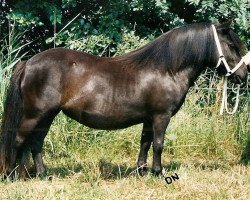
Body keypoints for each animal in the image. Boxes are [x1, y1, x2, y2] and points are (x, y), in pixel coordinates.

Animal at [0, 21, 248, 178]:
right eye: (232, 45)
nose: (243, 75)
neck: (167, 69)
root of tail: (28, 63)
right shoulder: (161, 116)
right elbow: (158, 144)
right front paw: (158, 173)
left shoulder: (149, 118)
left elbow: (145, 143)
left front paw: (142, 171)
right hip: (35, 114)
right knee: (19, 140)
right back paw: (13, 175)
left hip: (47, 115)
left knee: (35, 143)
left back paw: (41, 175)